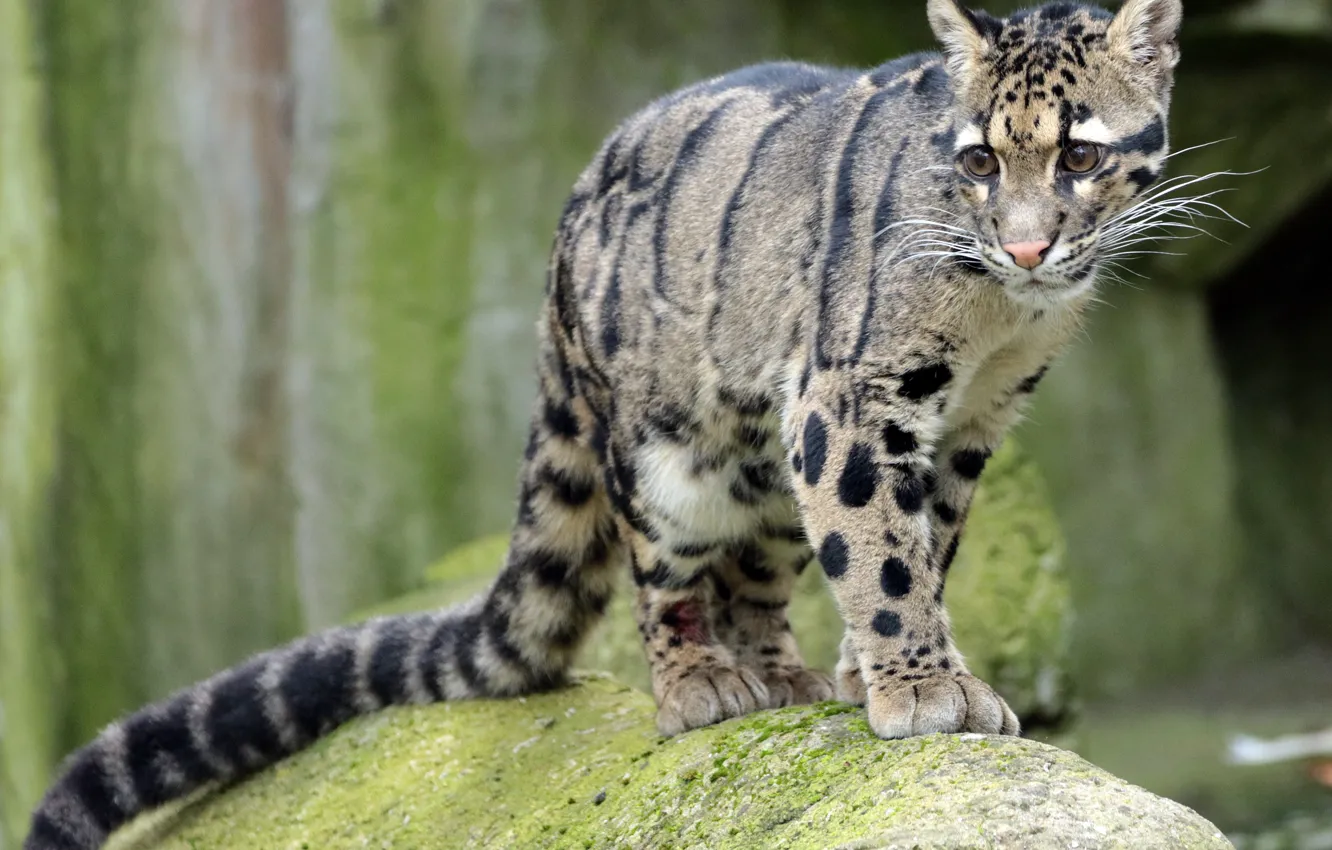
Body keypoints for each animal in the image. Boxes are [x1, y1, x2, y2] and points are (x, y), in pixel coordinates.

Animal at [24, 0, 1186, 847]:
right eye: (980, 159)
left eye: (1080, 156)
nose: (1029, 247)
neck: (1001, 323)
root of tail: (565, 224)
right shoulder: (855, 399)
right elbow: (881, 552)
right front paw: (924, 693)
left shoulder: (972, 420)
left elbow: (924, 547)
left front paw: (886, 677)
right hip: (672, 461)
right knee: (663, 580)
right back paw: (703, 685)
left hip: (764, 469)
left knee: (759, 573)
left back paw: (783, 672)